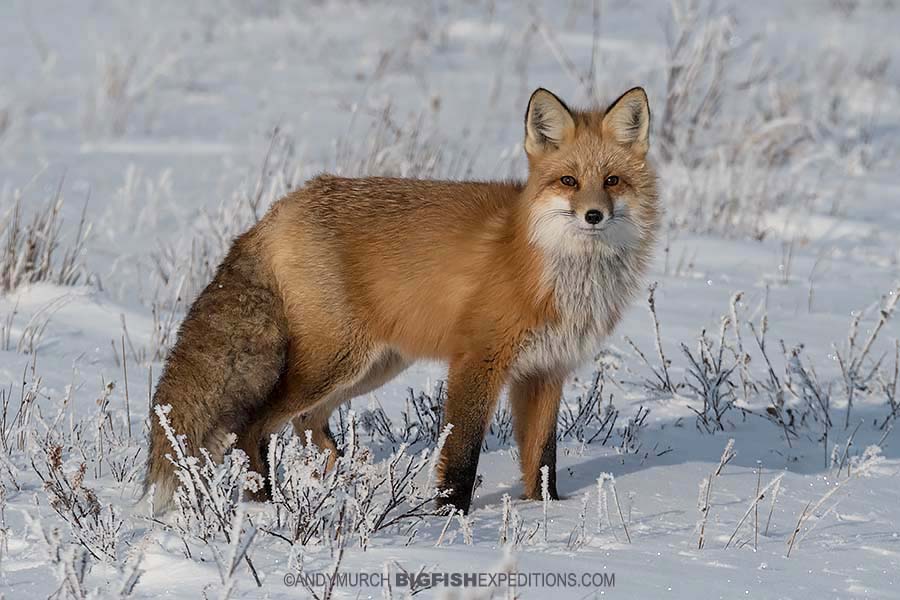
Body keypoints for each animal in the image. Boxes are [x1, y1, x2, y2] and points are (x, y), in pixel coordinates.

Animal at [144, 86, 659, 514]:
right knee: (253, 427)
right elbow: (462, 455)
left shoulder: (546, 371)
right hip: (335, 362)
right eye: (569, 181)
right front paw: (452, 520)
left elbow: (543, 460)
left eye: (612, 181)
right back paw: (266, 506)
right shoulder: (478, 360)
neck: (556, 268)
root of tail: (279, 208)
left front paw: (549, 512)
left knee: (308, 423)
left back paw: (338, 490)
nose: (593, 216)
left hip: (373, 367)